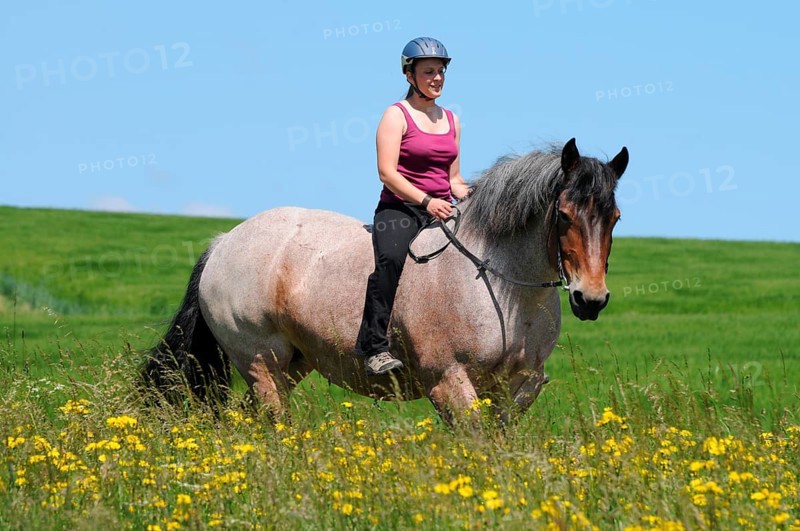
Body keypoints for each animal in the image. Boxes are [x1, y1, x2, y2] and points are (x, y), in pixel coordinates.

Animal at [141, 138, 628, 424]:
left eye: (615, 218)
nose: (591, 299)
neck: (502, 289)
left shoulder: (515, 391)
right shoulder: (448, 381)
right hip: (261, 361)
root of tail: (224, 242)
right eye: (563, 215)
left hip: (293, 364)